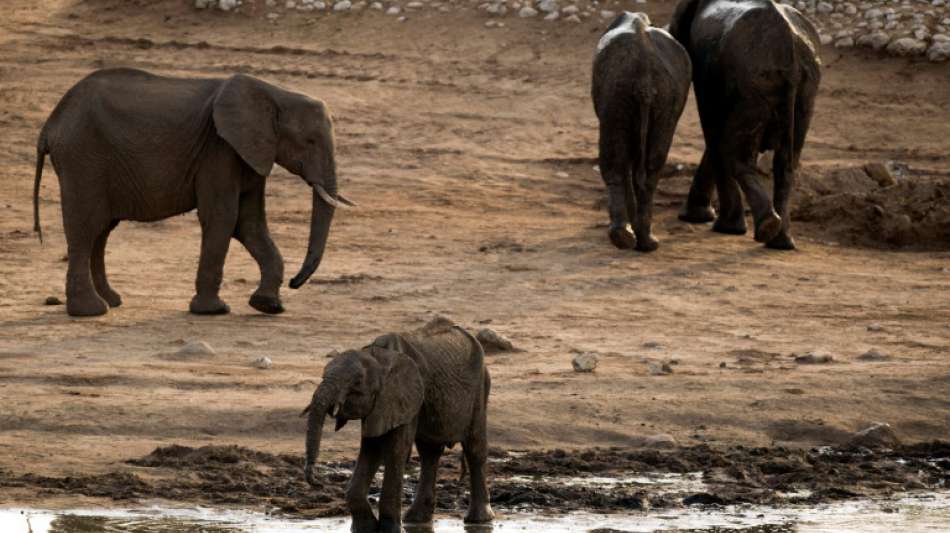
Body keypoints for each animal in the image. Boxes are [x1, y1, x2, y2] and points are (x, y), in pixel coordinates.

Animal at [33, 66, 356, 316]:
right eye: (310, 141)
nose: (294, 283)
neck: (275, 93)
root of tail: (50, 124)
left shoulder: (249, 153)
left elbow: (249, 223)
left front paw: (268, 306)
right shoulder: (219, 149)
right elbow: (224, 217)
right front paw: (214, 310)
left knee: (101, 231)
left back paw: (112, 301)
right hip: (83, 160)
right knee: (85, 228)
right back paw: (90, 311)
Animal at [304, 318, 498, 528]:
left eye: (356, 383)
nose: (316, 481)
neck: (378, 356)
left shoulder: (405, 395)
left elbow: (395, 450)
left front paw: (390, 527)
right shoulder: (382, 404)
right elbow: (372, 449)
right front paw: (367, 527)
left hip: (479, 389)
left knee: (474, 448)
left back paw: (479, 520)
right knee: (429, 453)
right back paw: (415, 520)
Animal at [596, 11, 692, 251]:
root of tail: (644, 76)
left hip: (621, 91)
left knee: (619, 161)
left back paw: (629, 238)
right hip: (645, 94)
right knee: (649, 164)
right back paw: (640, 241)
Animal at [668, 0, 824, 247]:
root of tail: (789, 49)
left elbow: (713, 129)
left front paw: (717, 225)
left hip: (754, 85)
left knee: (733, 151)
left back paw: (767, 228)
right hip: (804, 90)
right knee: (787, 162)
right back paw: (780, 241)